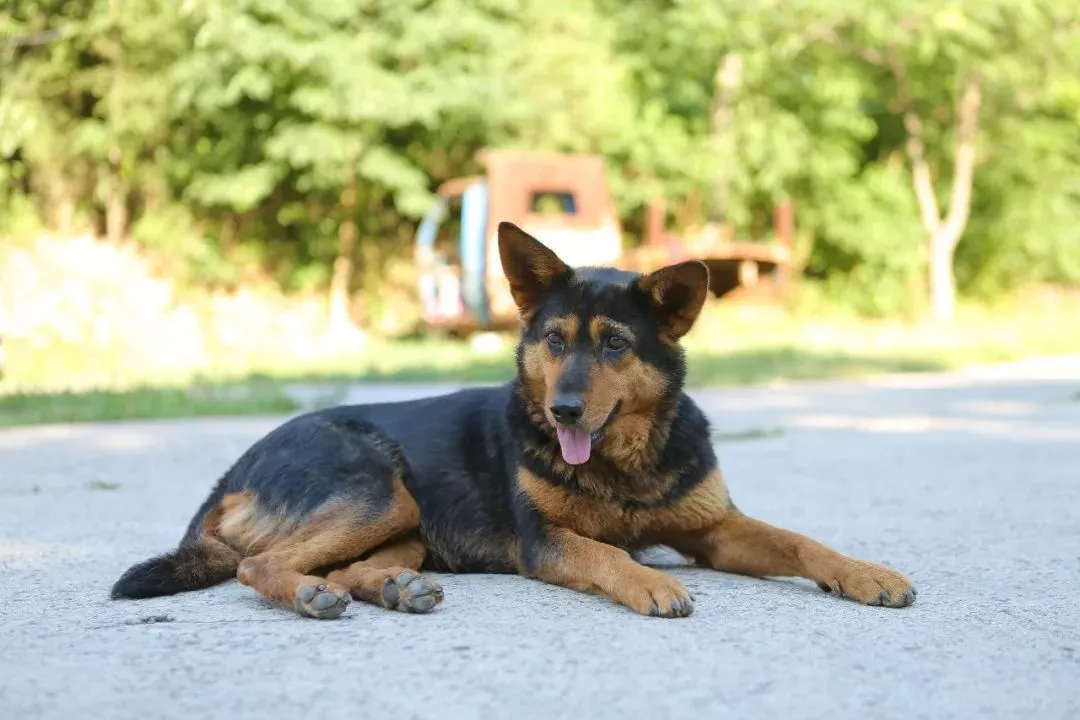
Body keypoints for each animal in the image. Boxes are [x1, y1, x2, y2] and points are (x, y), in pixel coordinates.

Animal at [112, 222, 916, 618]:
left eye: (615, 345)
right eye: (555, 340)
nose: (563, 409)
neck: (624, 463)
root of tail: (233, 470)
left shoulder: (716, 529)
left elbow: (804, 542)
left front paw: (866, 574)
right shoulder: (546, 543)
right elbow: (606, 555)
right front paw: (647, 583)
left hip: (403, 524)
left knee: (347, 565)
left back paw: (391, 589)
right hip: (378, 491)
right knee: (262, 564)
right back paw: (313, 596)